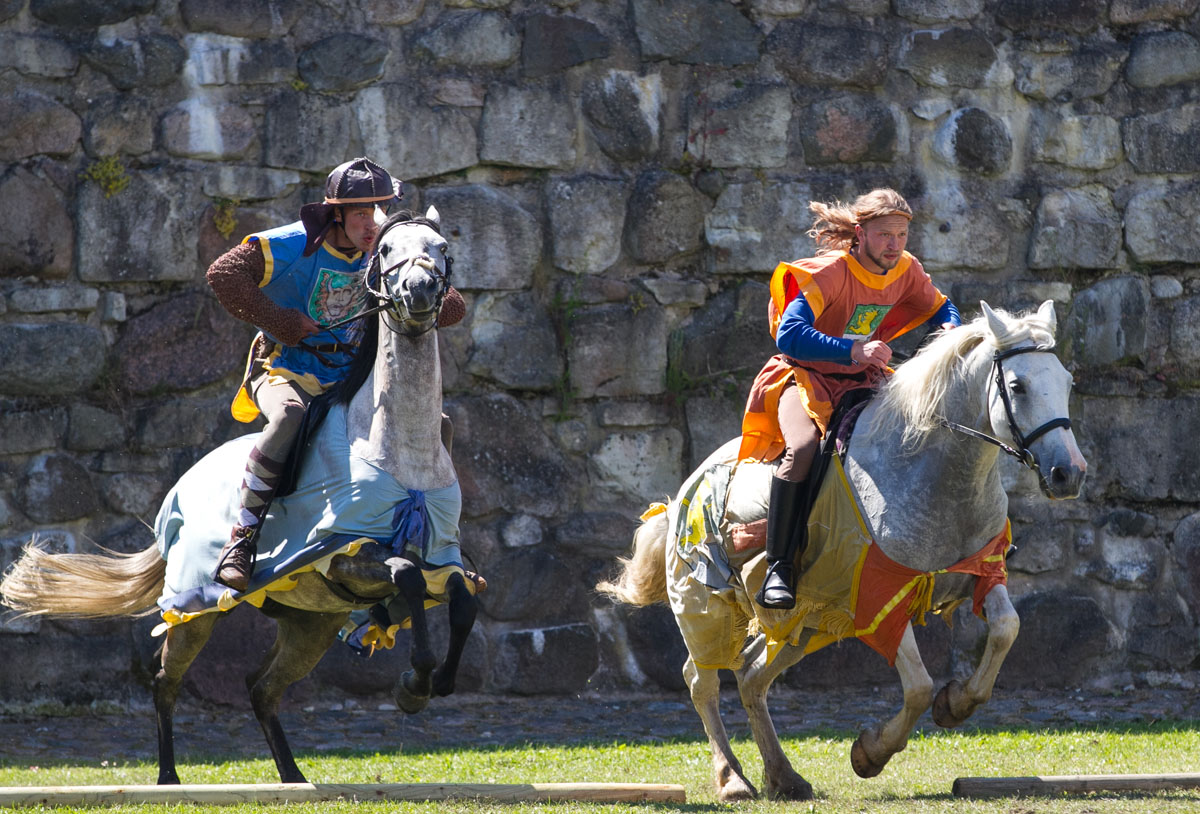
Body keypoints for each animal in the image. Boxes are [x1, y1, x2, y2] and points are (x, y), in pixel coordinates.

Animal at [0, 207, 478, 786]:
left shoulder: (438, 563)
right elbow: (404, 574)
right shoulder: (345, 556)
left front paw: (432, 682)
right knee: (166, 680)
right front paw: (415, 683)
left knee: (261, 688)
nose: (420, 289)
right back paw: (169, 780)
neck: (396, 449)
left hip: (313, 624)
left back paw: (294, 778)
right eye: (387, 251)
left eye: (441, 248)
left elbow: (464, 598)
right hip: (196, 611)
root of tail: (176, 495)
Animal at [598, 301, 1087, 801]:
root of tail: (683, 492)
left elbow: (1007, 628)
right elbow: (917, 687)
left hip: (804, 622)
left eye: (1067, 382)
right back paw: (733, 779)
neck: (929, 469)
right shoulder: (881, 597)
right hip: (705, 604)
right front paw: (871, 752)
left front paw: (957, 703)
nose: (1069, 473)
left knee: (752, 678)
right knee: (701, 681)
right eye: (1017, 386)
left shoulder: (979, 574)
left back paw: (784, 776)